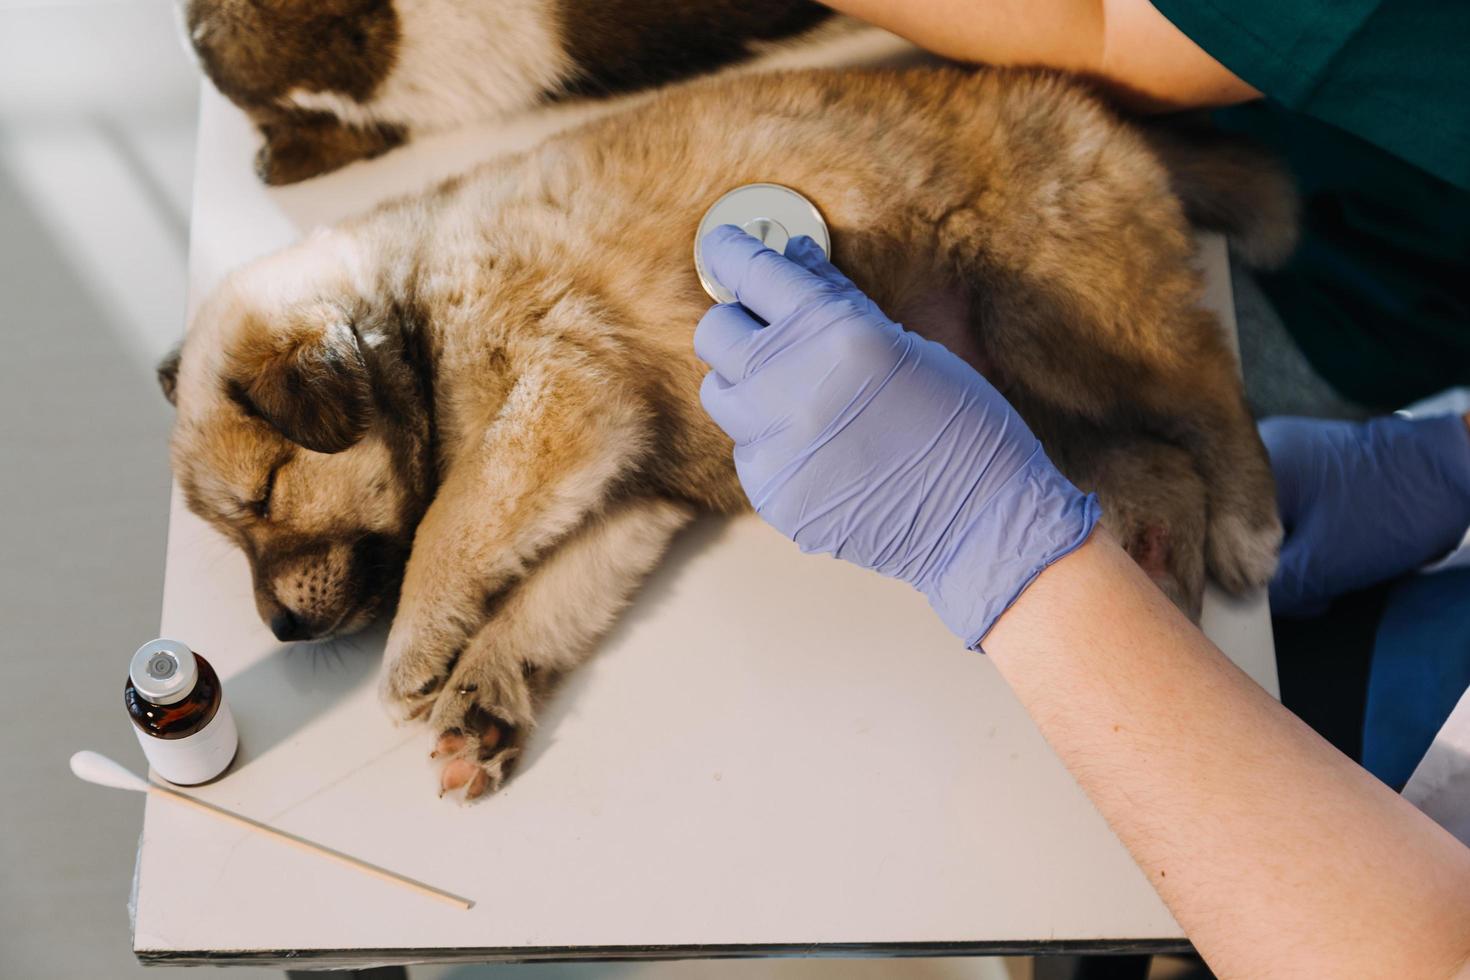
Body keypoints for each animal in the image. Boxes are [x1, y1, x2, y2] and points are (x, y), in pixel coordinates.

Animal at [155, 70, 1293, 805]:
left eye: (263, 498)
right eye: (234, 532)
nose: (279, 634)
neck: (413, 301)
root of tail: (1106, 119)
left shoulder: (557, 399)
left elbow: (449, 525)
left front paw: (414, 650)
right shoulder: (621, 485)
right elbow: (540, 600)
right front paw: (485, 696)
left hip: (1064, 319)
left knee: (1206, 387)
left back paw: (1249, 521)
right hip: (1032, 402)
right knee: (1150, 464)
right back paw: (1159, 563)